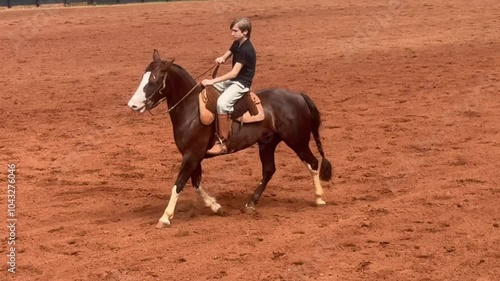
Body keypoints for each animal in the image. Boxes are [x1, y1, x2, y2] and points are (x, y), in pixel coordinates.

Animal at [128, 49, 332, 226]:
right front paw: (215, 206)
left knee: (313, 163)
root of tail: (299, 96)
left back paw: (319, 198)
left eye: (155, 78)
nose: (133, 105)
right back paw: (251, 203)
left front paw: (165, 217)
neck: (192, 109)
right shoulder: (193, 156)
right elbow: (195, 183)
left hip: (298, 141)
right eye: (144, 76)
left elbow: (179, 184)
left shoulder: (192, 155)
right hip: (267, 144)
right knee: (269, 170)